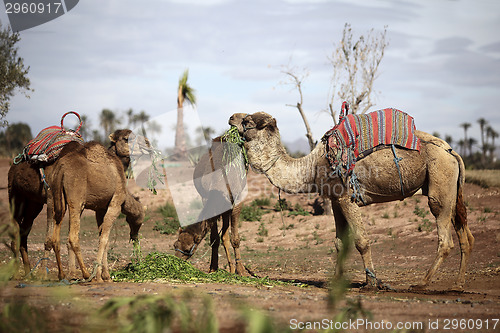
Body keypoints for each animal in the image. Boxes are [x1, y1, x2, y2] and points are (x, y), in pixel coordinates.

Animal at [7, 129, 144, 278]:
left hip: (34, 203)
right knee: (17, 230)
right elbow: (50, 238)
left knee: (24, 231)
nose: (135, 238)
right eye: (126, 138)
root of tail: (14, 164)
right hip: (16, 194)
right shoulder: (51, 196)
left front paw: (73, 273)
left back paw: (29, 273)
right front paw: (44, 273)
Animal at [175, 134, 247, 274]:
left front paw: (241, 270)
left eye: (187, 249)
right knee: (224, 236)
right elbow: (215, 238)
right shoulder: (207, 198)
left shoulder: (237, 200)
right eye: (175, 245)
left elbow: (235, 238)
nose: (177, 261)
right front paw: (213, 268)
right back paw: (230, 268)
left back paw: (233, 269)